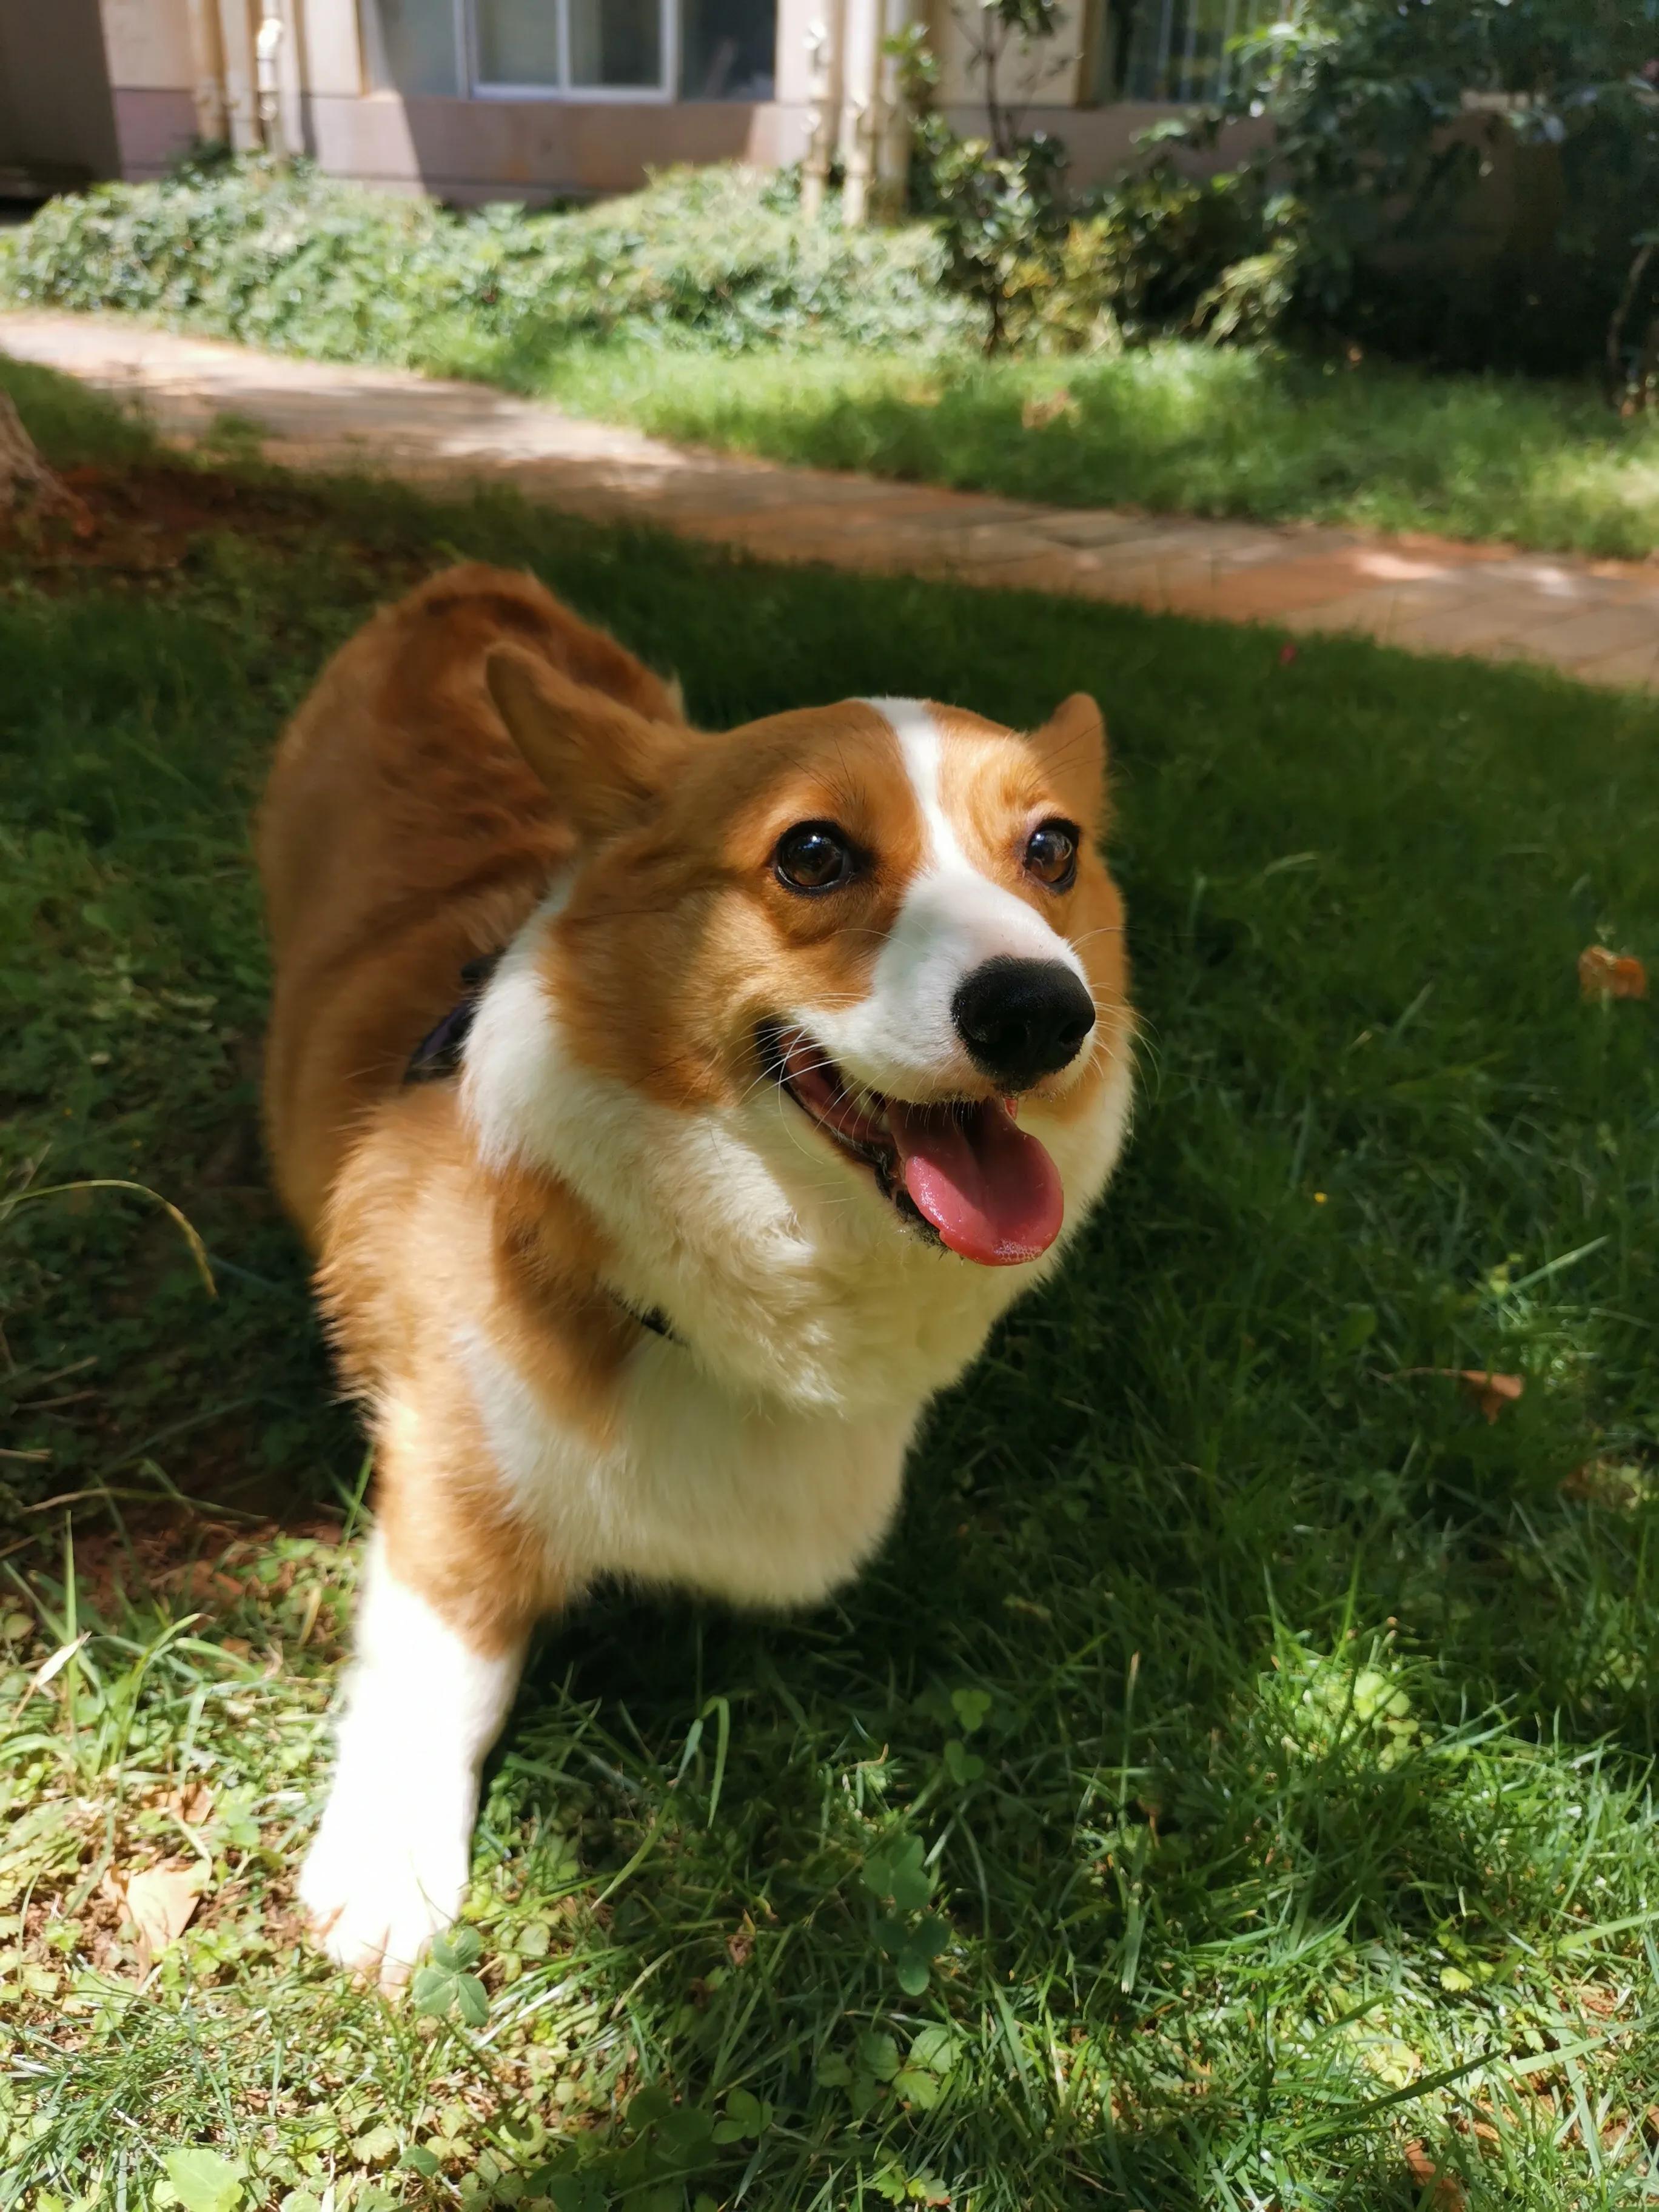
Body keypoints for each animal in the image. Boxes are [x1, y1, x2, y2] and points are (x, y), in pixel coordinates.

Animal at [260, 561, 1141, 1982]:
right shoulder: (453, 1465)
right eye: (814, 853)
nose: (1043, 1012)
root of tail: (466, 583)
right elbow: (445, 1662)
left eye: (1052, 849)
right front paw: (390, 1871)